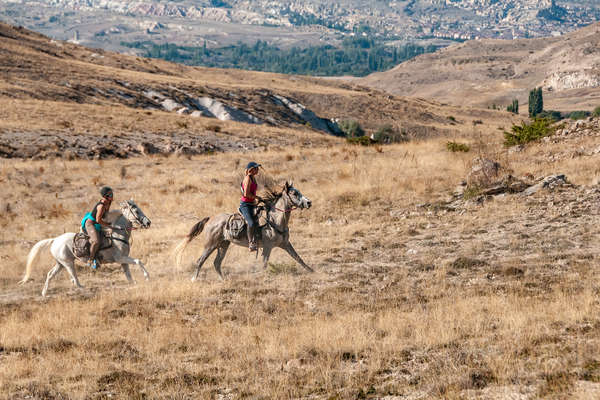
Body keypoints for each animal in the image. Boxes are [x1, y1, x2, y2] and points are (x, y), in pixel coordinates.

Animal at [19, 200, 151, 296]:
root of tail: (55, 240)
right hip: (68, 263)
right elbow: (138, 261)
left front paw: (134, 283)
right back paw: (83, 288)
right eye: (136, 210)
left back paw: (44, 293)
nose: (148, 223)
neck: (117, 234)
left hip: (60, 264)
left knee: (50, 274)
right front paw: (147, 276)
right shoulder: (120, 258)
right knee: (74, 279)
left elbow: (128, 274)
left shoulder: (123, 260)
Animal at [175, 182, 312, 282]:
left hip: (223, 245)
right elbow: (264, 264)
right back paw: (194, 279)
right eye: (294, 193)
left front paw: (312, 271)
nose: (309, 202)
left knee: (217, 263)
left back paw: (223, 280)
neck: (275, 221)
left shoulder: (285, 244)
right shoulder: (267, 247)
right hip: (210, 245)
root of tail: (211, 219)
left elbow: (298, 258)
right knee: (200, 261)